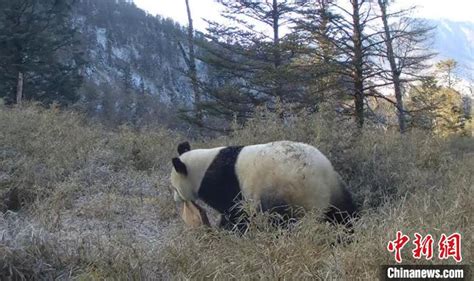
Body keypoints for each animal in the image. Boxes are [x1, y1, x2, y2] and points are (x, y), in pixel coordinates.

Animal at [169, 140, 356, 230]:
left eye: (174, 188)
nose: (176, 199)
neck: (203, 166)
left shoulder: (222, 182)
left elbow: (235, 211)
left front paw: (228, 230)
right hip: (336, 185)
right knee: (343, 214)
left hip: (287, 191)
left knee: (281, 219)